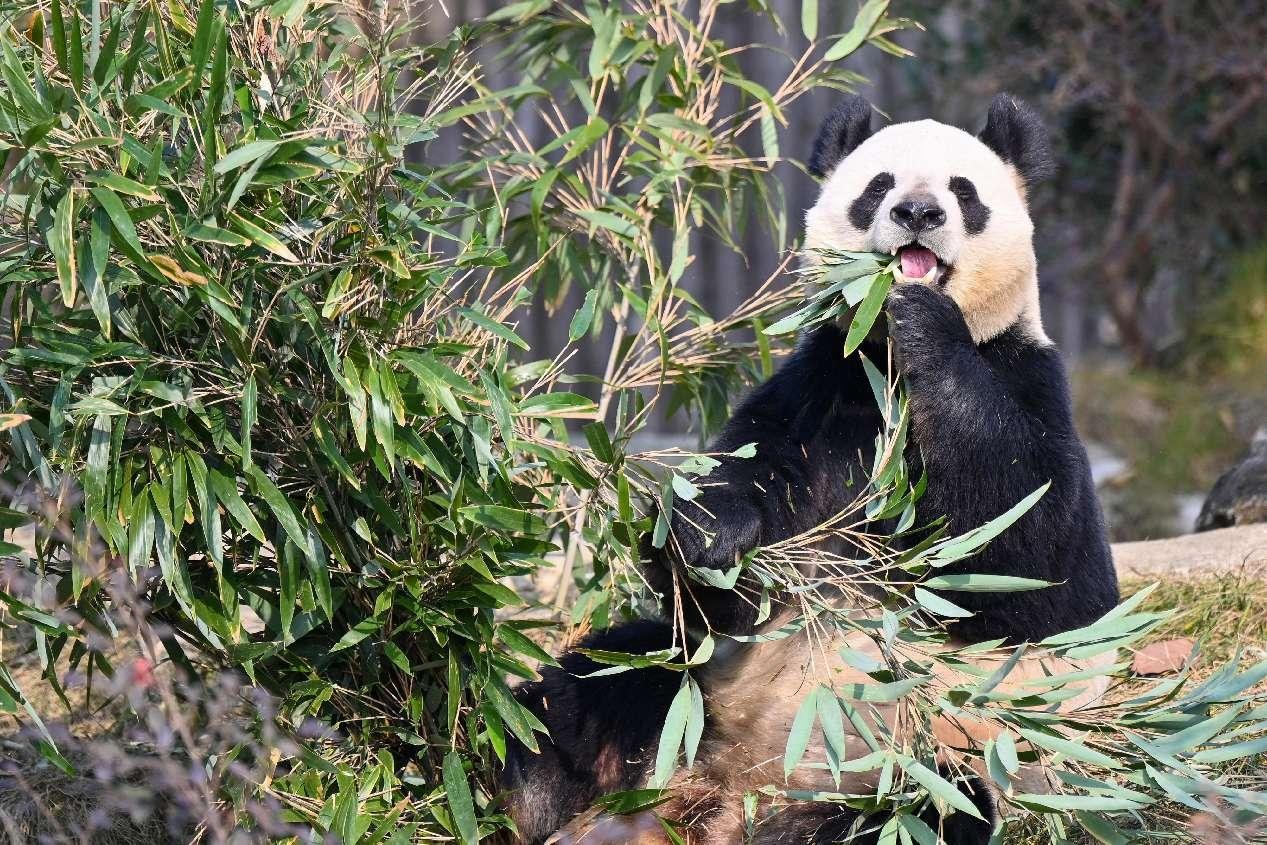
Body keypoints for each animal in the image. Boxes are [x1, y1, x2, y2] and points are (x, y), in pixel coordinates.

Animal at [501, 94, 1121, 844]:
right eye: (878, 186)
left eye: (963, 192)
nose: (918, 213)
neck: (887, 367)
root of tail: (725, 793)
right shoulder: (819, 391)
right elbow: (730, 558)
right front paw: (706, 534)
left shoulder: (1027, 377)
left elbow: (1037, 563)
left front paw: (925, 321)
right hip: (687, 697)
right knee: (586, 691)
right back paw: (522, 791)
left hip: (916, 767)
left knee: (934, 810)